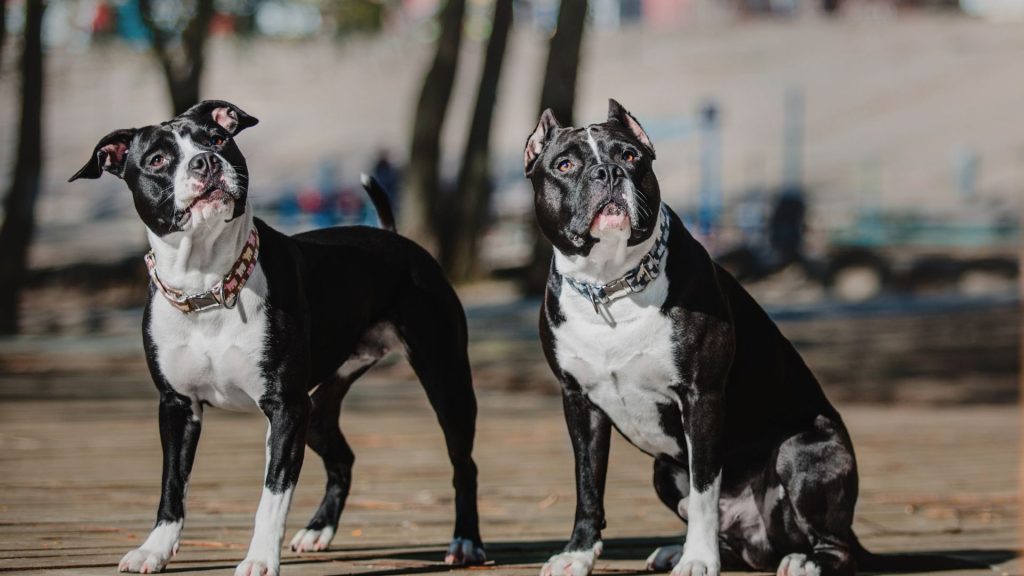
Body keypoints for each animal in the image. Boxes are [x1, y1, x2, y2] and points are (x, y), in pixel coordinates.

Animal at [71, 100, 483, 569]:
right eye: (157, 160)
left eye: (218, 140)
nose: (205, 162)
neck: (208, 284)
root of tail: (394, 238)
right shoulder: (177, 407)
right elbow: (172, 484)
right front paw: (154, 549)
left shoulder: (285, 410)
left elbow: (272, 495)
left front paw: (260, 559)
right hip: (318, 412)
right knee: (342, 457)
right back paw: (319, 530)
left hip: (445, 382)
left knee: (464, 464)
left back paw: (466, 541)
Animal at [524, 99, 868, 573]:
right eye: (565, 164)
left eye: (630, 155)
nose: (608, 172)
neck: (612, 284)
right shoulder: (580, 403)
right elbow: (587, 484)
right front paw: (577, 554)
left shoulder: (701, 398)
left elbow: (705, 489)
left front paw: (699, 559)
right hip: (662, 473)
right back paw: (677, 550)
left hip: (803, 449)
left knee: (837, 543)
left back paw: (804, 561)